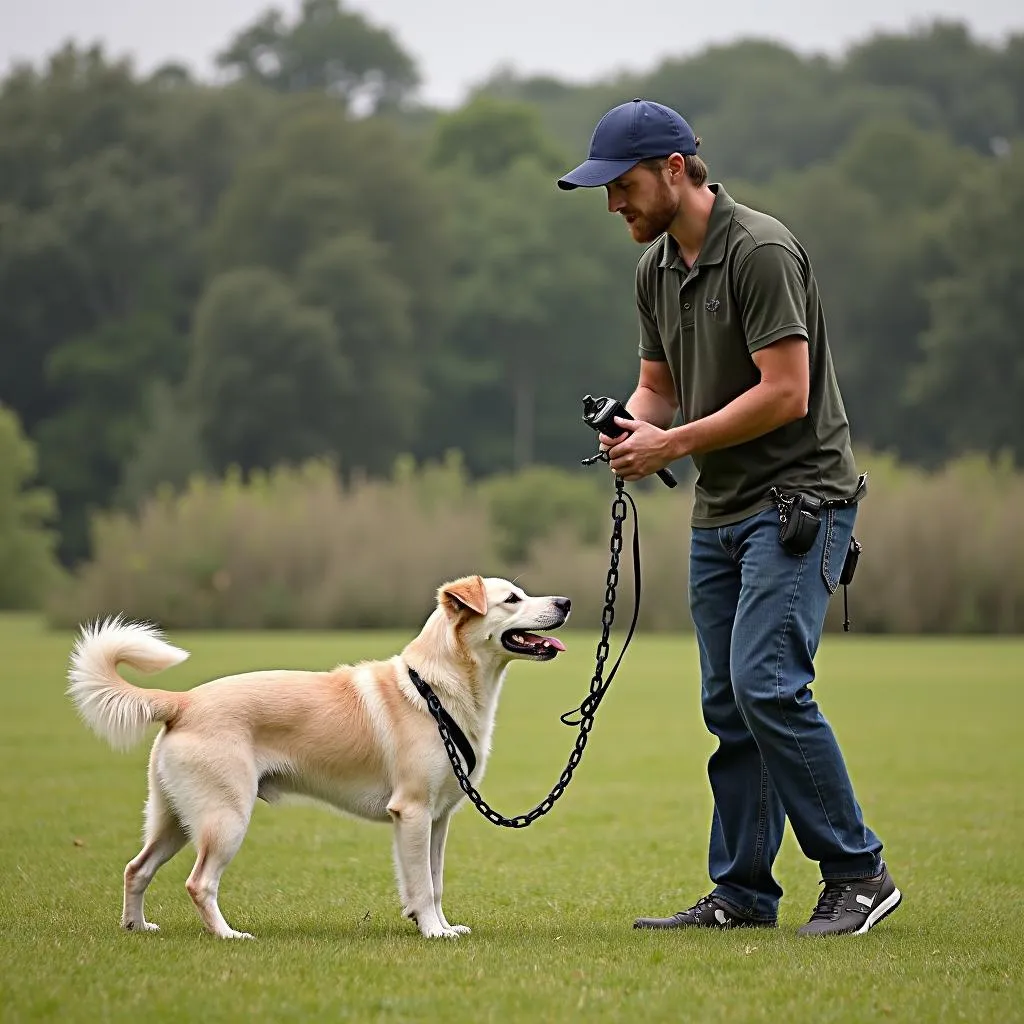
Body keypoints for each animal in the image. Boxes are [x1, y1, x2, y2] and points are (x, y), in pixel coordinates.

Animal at [68, 573, 573, 937]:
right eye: (511, 599)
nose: (565, 602)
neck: (436, 689)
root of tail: (183, 702)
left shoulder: (437, 819)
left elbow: (434, 881)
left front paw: (442, 927)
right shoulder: (411, 812)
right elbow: (423, 885)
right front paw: (433, 932)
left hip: (174, 818)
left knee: (136, 869)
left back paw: (136, 926)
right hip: (225, 818)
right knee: (199, 883)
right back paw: (227, 935)